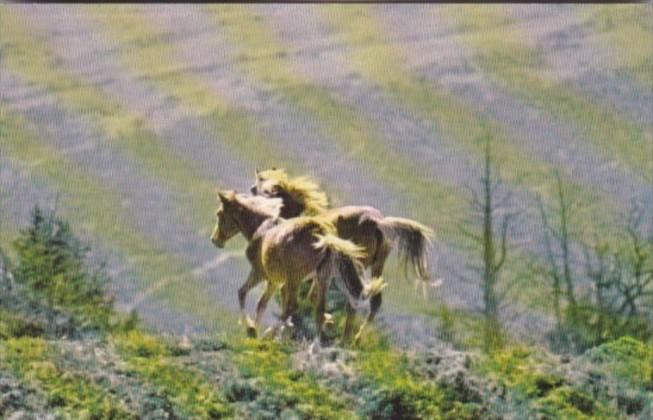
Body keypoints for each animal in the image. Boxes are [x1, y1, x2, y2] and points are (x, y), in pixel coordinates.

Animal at [209, 190, 382, 344]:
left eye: (219, 213)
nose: (215, 240)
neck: (262, 226)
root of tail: (322, 236)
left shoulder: (260, 273)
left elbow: (242, 293)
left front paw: (252, 330)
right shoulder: (274, 281)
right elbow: (261, 304)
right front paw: (258, 331)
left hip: (295, 279)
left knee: (293, 305)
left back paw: (270, 334)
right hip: (322, 278)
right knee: (318, 309)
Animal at [250, 167, 438, 338]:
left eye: (264, 185)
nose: (252, 190)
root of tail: (378, 222)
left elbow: (297, 299)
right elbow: (312, 299)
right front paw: (327, 321)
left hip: (358, 265)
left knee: (354, 299)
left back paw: (346, 338)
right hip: (377, 265)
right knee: (374, 300)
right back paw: (355, 338)